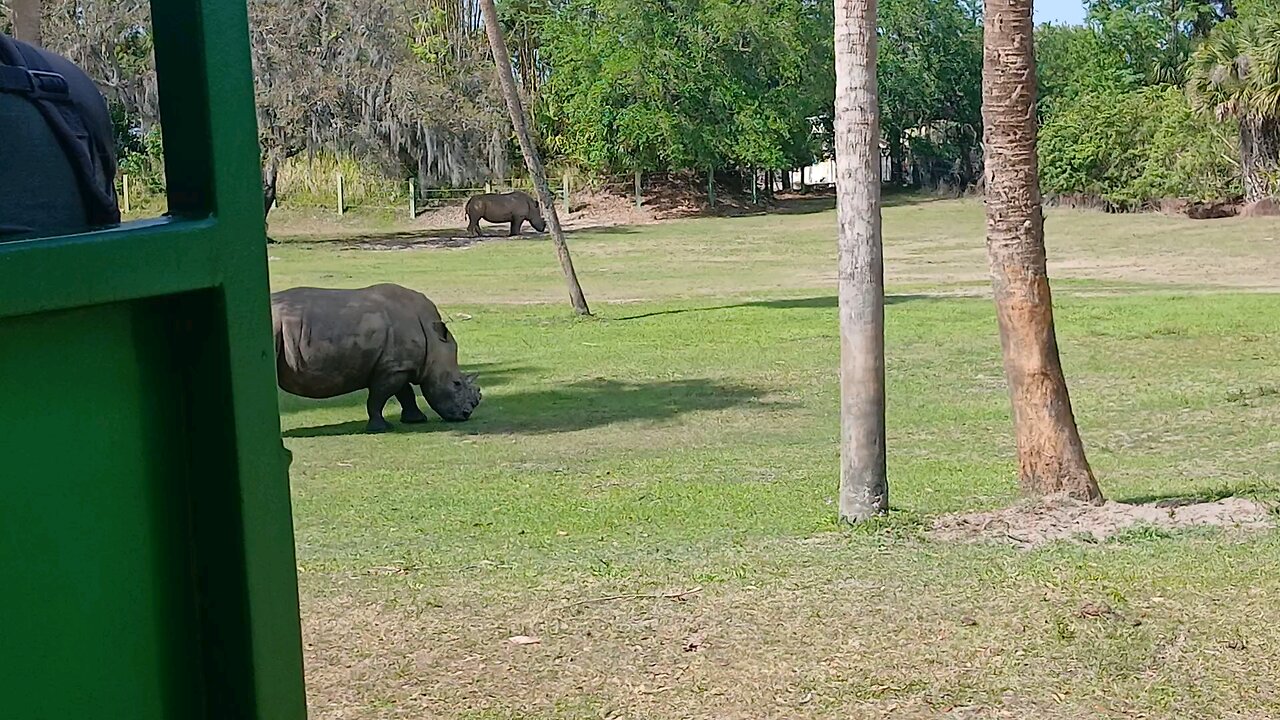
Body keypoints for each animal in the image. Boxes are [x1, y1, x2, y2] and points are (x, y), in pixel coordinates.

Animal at [271, 283, 481, 432]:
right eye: (456, 384)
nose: (465, 414)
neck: (434, 342)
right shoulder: (394, 368)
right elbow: (379, 397)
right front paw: (380, 428)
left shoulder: (398, 366)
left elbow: (405, 393)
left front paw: (416, 420)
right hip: (274, 328)